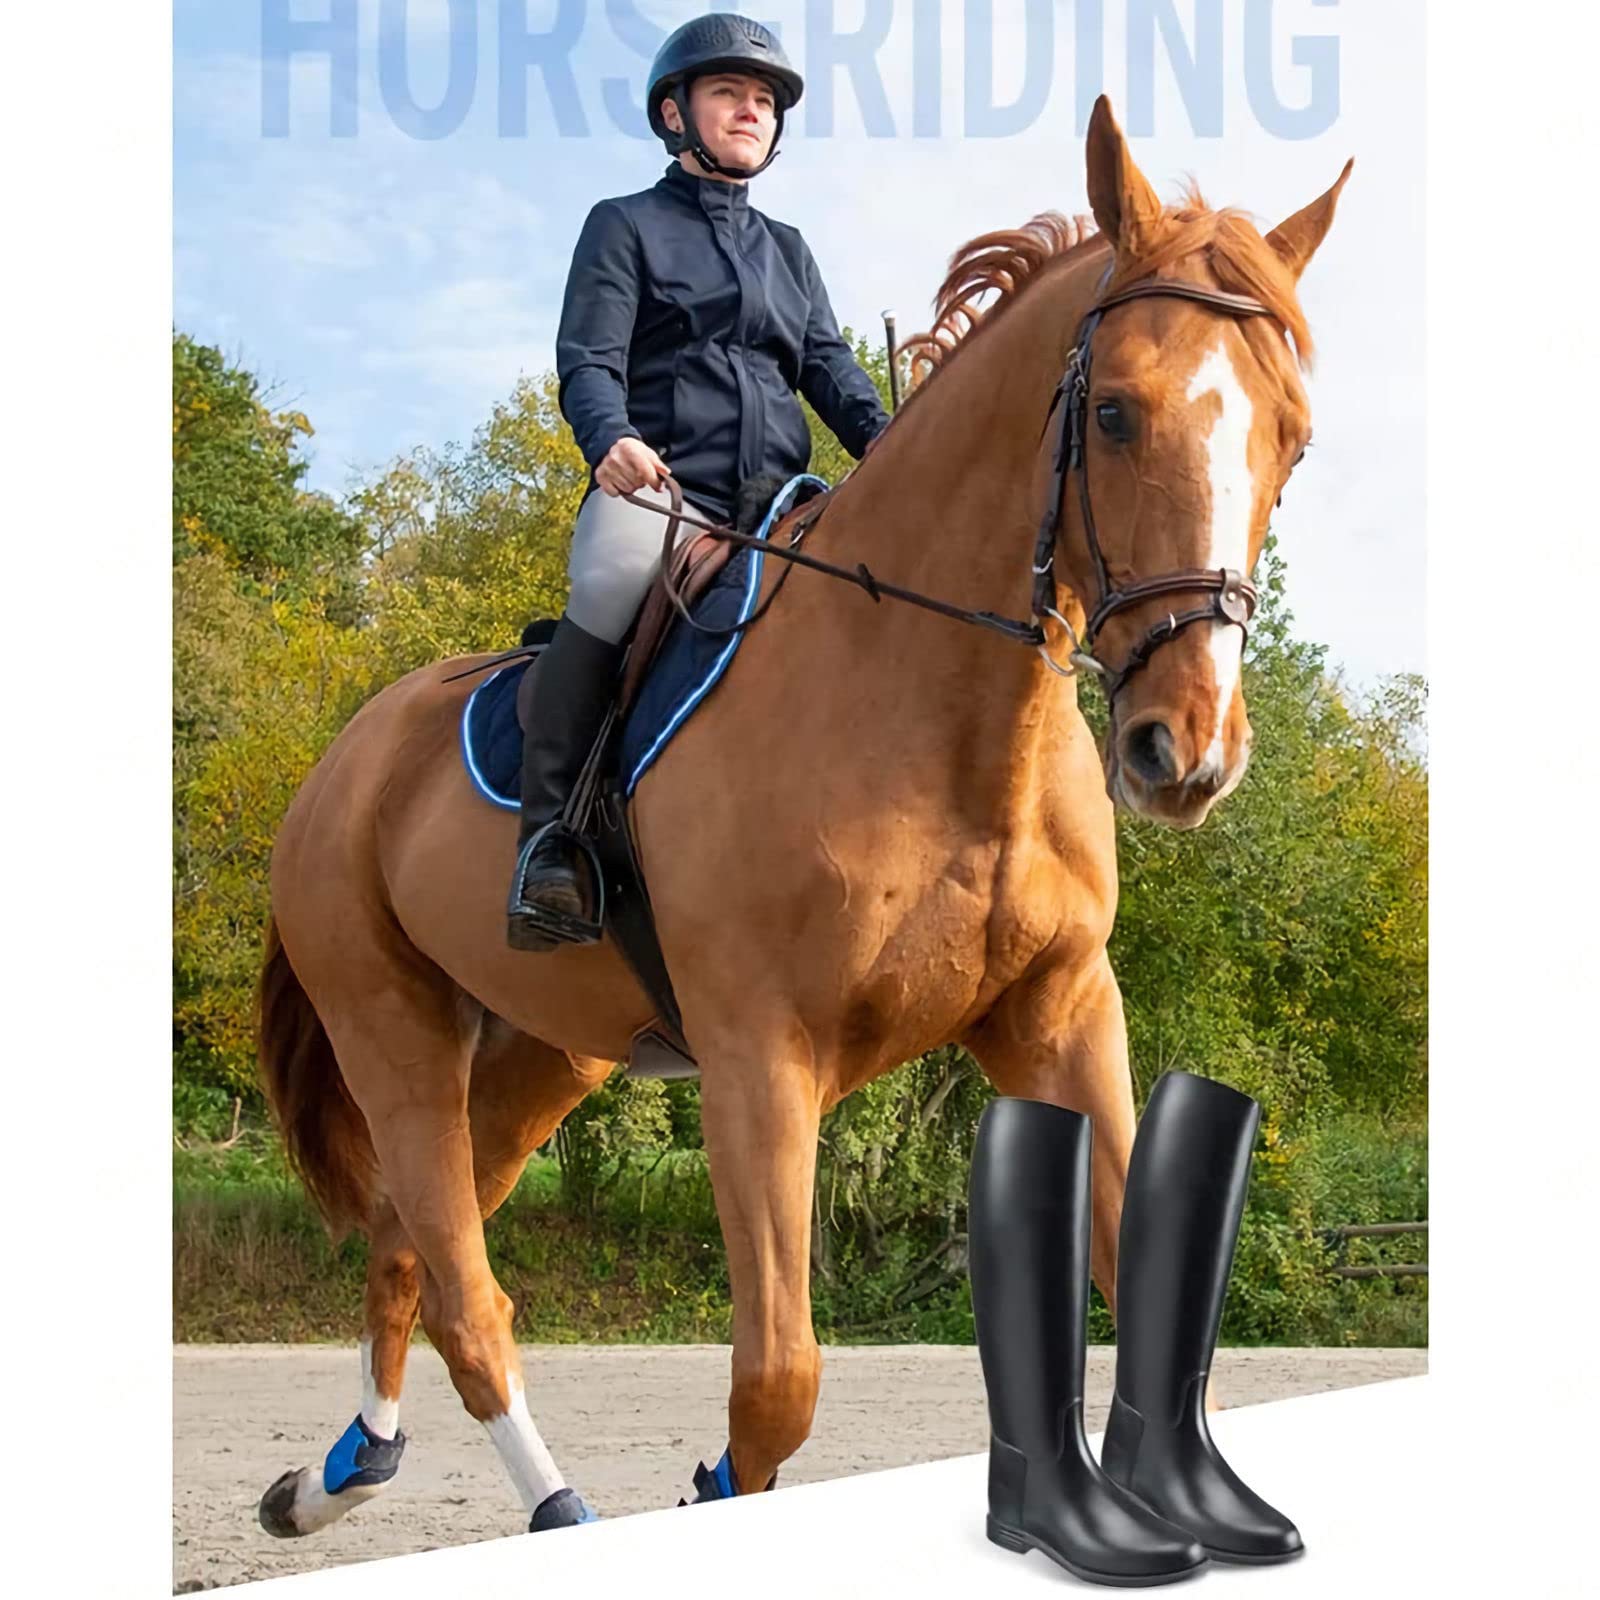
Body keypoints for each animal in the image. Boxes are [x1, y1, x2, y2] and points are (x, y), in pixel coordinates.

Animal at [254, 96, 1349, 1536]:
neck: (941, 718)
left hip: (544, 1054)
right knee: (465, 1293)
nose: (1190, 750)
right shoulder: (760, 1063)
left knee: (409, 1259)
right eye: (1114, 414)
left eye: (1292, 437)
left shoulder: (1057, 1013)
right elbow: (777, 1382)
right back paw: (541, 1508)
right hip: (394, 1037)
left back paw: (337, 1478)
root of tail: (344, 757)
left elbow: (1138, 1276)